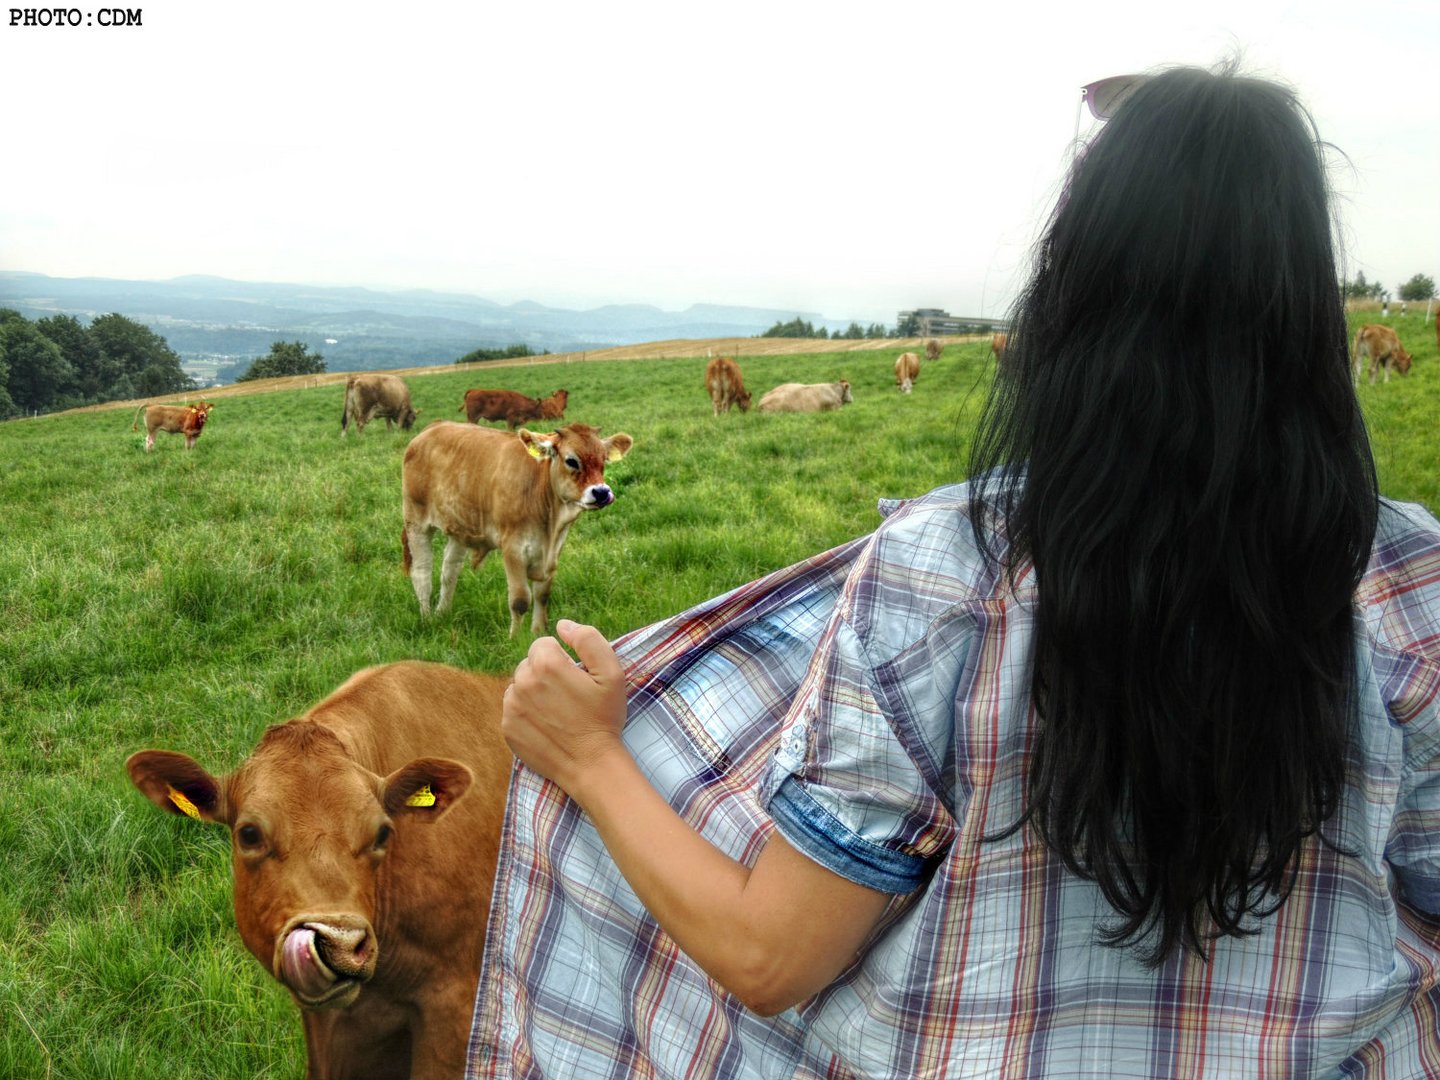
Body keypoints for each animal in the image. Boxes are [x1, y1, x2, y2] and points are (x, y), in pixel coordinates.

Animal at [403, 423, 633, 639]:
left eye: (603, 460)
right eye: (571, 461)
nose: (601, 492)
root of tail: (431, 428)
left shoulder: (554, 550)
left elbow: (542, 594)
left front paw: (538, 631)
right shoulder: (513, 548)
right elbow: (520, 599)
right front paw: (515, 638)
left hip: (460, 527)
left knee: (449, 570)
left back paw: (442, 612)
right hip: (416, 521)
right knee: (422, 572)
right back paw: (427, 618)